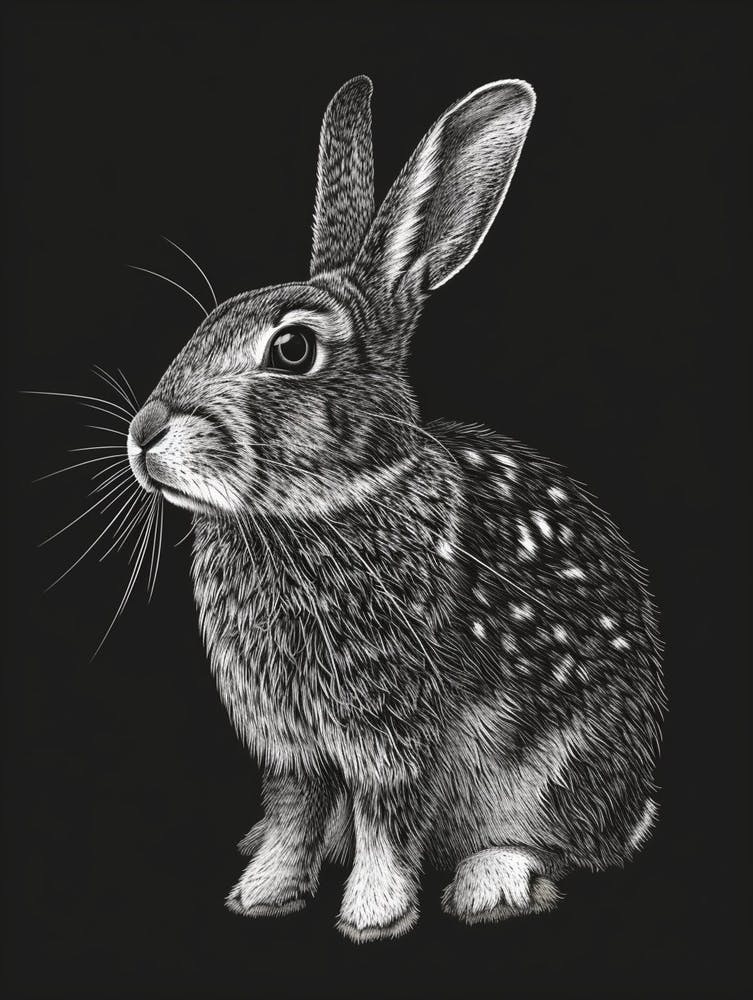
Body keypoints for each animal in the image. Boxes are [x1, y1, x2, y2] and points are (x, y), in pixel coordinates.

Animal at [125, 76, 665, 942]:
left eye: (292, 350)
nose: (144, 432)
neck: (312, 509)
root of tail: (637, 804)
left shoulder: (393, 729)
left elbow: (387, 815)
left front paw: (373, 916)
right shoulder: (289, 743)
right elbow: (294, 813)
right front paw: (264, 893)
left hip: (561, 768)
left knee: (560, 840)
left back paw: (491, 883)